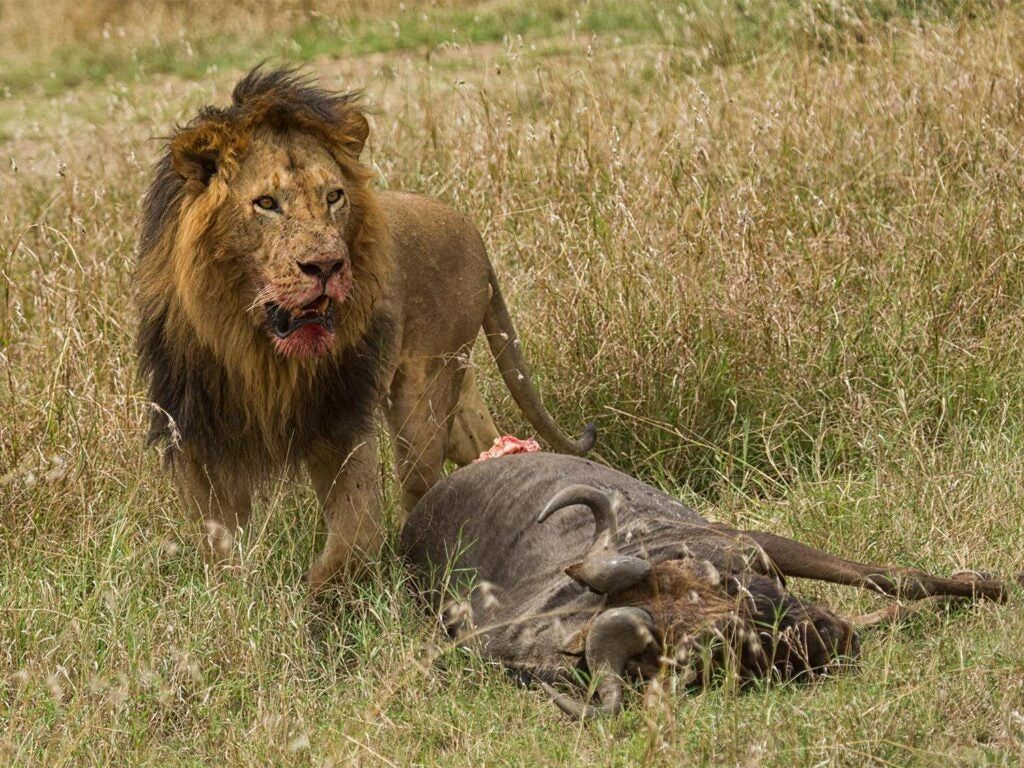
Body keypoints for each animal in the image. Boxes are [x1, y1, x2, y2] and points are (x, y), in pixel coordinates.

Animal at [135, 68, 594, 589]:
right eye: (266, 203)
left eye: (333, 196)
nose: (327, 266)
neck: (258, 350)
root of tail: (472, 231)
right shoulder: (195, 431)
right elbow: (221, 546)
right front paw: (238, 593)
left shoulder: (340, 419)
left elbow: (354, 537)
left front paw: (321, 597)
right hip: (459, 386)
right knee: (483, 444)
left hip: (426, 392)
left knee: (421, 487)